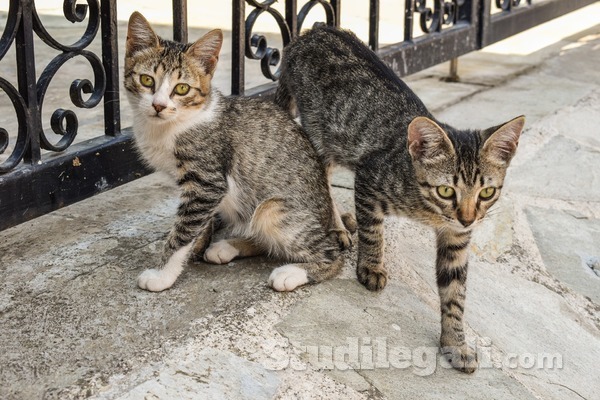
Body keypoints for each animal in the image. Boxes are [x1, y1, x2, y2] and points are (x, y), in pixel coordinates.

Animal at [124, 12, 354, 294]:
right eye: (147, 80)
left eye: (181, 89)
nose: (158, 105)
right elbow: (198, 224)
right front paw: (195, 248)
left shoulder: (207, 181)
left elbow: (184, 230)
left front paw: (163, 274)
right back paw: (228, 246)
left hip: (273, 208)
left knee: (330, 253)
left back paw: (292, 272)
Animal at [276, 26, 524, 374]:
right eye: (446, 191)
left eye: (486, 193)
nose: (468, 218)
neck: (429, 211)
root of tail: (312, 32)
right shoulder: (369, 179)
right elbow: (373, 232)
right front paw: (371, 267)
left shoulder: (457, 238)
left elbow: (455, 292)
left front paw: (455, 342)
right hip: (321, 134)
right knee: (319, 175)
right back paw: (336, 225)